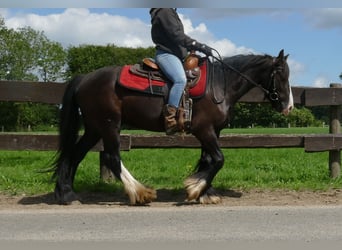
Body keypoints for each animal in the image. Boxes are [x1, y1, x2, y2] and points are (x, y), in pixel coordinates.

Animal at [53, 49, 294, 205]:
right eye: (281, 74)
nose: (289, 106)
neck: (220, 85)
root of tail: (85, 78)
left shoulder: (213, 131)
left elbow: (208, 160)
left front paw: (205, 192)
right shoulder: (204, 130)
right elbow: (218, 159)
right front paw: (194, 188)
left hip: (94, 128)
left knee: (74, 154)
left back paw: (67, 194)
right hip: (109, 125)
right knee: (112, 157)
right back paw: (140, 193)